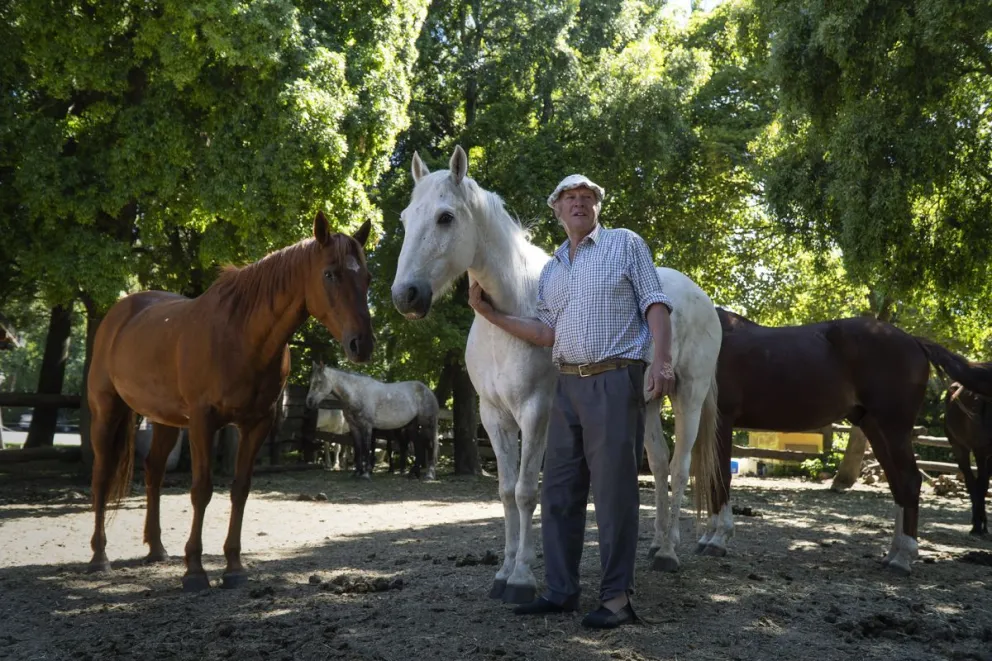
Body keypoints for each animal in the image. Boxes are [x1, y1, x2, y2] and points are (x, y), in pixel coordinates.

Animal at [86, 212, 374, 591]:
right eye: (330, 274)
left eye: (367, 278)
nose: (362, 344)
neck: (242, 334)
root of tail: (119, 312)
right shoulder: (202, 421)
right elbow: (202, 490)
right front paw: (195, 570)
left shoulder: (256, 424)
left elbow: (240, 489)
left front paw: (234, 567)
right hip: (107, 411)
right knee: (102, 476)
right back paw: (99, 556)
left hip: (165, 421)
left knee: (154, 472)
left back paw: (156, 549)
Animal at [306, 364, 440, 480]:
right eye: (311, 381)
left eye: (319, 382)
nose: (309, 402)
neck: (358, 394)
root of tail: (427, 390)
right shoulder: (354, 427)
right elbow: (358, 449)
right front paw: (357, 472)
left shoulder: (367, 427)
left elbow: (366, 448)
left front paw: (365, 474)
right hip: (411, 426)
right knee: (418, 446)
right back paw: (414, 473)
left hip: (428, 425)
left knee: (430, 446)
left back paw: (429, 475)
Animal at [944, 383, 992, 536]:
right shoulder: (980, 451)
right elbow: (981, 484)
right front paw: (978, 525)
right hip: (959, 447)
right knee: (972, 482)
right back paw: (977, 524)